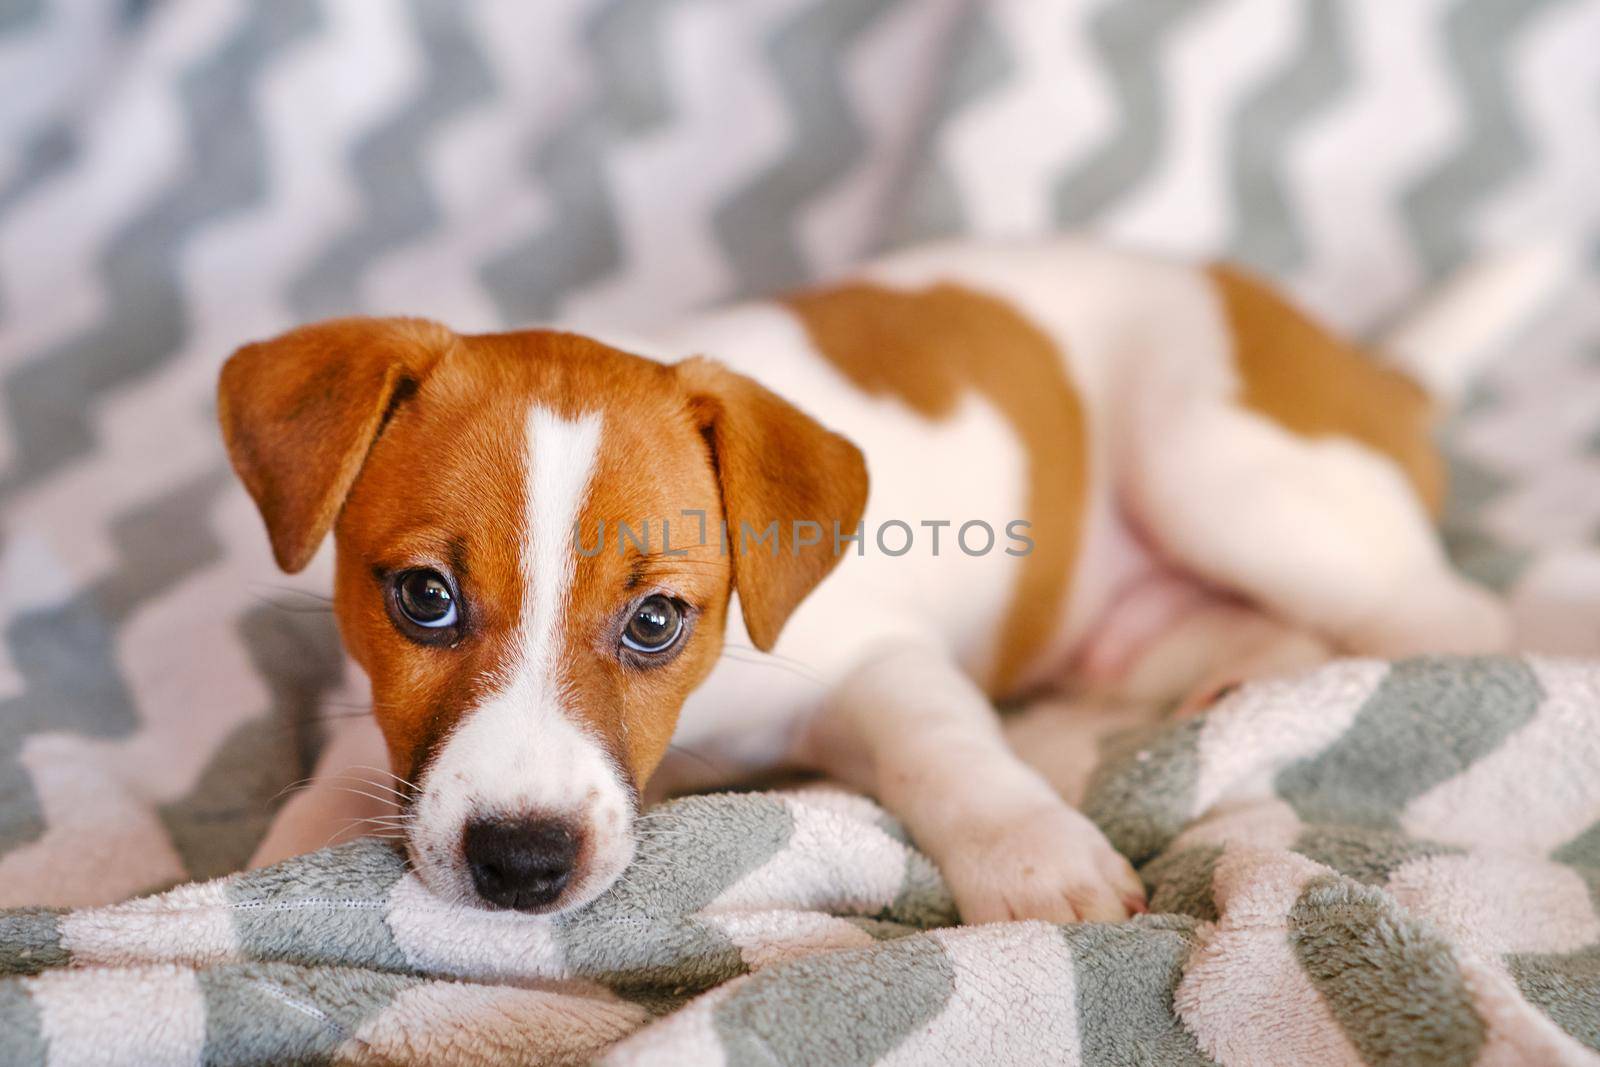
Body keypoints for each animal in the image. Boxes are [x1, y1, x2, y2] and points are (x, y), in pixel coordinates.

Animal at [222, 239, 1548, 927]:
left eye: (656, 620)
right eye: (423, 598)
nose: (521, 864)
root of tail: (1366, 372)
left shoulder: (879, 662)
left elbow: (945, 752)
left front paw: (1033, 853)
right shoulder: (378, 693)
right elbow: (353, 765)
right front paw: (270, 862)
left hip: (1228, 476)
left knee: (1453, 615)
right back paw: (1231, 684)